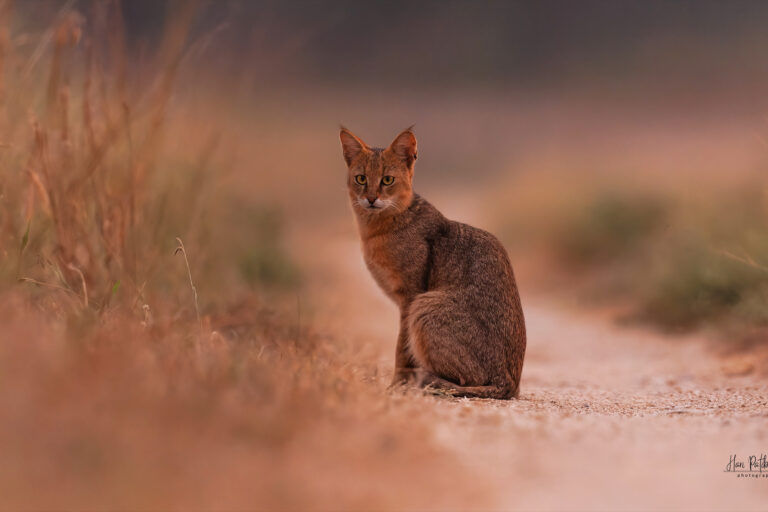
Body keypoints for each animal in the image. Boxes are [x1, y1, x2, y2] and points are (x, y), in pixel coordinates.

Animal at [342, 128, 528, 400]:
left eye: (387, 180)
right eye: (361, 178)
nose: (371, 198)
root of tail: (511, 384)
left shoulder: (410, 297)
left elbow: (401, 349)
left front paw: (395, 386)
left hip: (425, 306)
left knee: (466, 381)